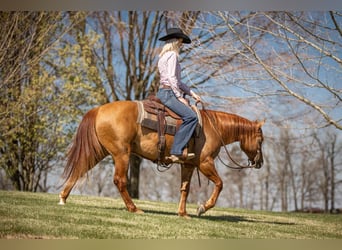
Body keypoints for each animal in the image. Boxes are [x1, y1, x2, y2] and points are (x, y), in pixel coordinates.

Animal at [58, 99, 264, 217]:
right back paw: (134, 208)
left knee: (79, 169)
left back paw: (63, 198)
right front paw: (202, 208)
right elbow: (220, 184)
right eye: (260, 140)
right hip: (121, 154)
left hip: (100, 151)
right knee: (120, 181)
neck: (214, 127)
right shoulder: (205, 163)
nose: (260, 163)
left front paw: (182, 213)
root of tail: (99, 109)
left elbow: (184, 189)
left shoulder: (188, 165)